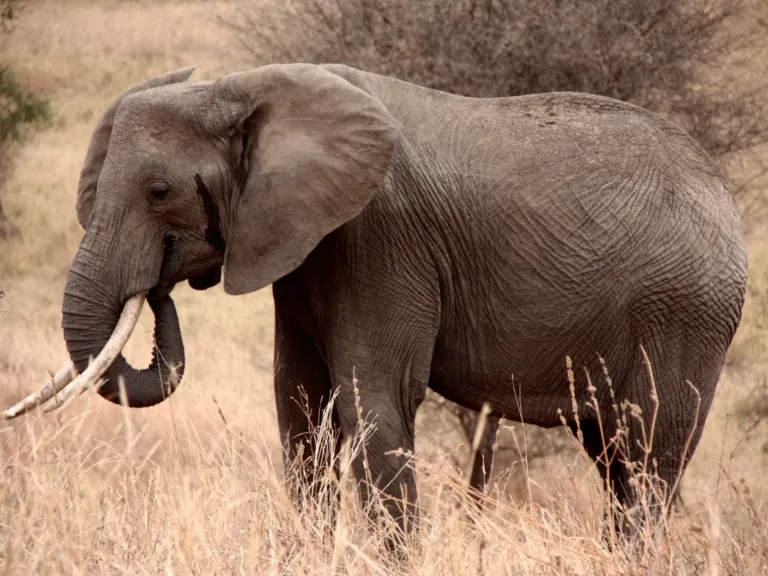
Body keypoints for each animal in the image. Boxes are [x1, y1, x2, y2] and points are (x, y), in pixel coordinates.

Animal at [5, 63, 747, 538]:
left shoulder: (380, 237)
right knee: (614, 456)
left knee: (649, 455)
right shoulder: (303, 244)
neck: (241, 86)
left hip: (686, 311)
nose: (159, 284)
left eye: (160, 193)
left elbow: (375, 399)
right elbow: (299, 404)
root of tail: (723, 193)